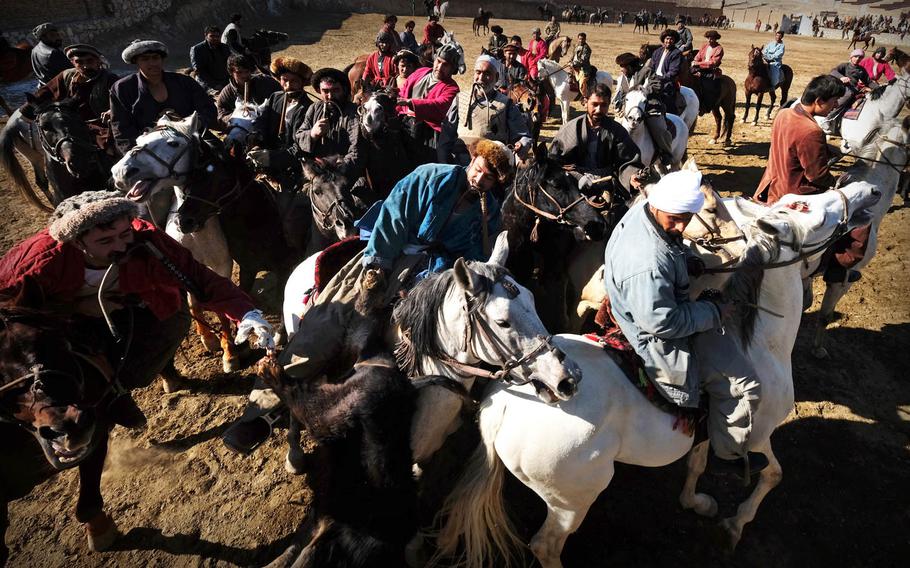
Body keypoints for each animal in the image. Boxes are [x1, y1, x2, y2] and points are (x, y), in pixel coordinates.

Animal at [111, 112, 242, 374]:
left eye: (173, 143)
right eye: (139, 139)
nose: (120, 173)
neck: (195, 232)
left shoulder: (222, 266)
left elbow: (221, 308)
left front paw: (229, 353)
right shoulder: (182, 266)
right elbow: (193, 303)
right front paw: (208, 339)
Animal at [434, 179, 884, 568]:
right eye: (803, 207)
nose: (868, 188)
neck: (759, 342)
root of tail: (502, 410)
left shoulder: (709, 422)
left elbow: (698, 461)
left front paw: (696, 502)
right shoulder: (756, 432)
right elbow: (773, 473)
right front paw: (733, 525)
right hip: (571, 501)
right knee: (545, 546)